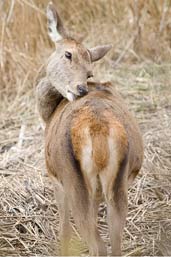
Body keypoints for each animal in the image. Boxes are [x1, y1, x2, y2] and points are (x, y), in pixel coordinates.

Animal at [36, 1, 143, 254]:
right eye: (68, 54)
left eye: (89, 72)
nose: (81, 89)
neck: (48, 113)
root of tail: (100, 134)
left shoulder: (55, 179)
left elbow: (64, 231)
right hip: (117, 185)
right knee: (114, 242)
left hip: (73, 180)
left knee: (98, 245)